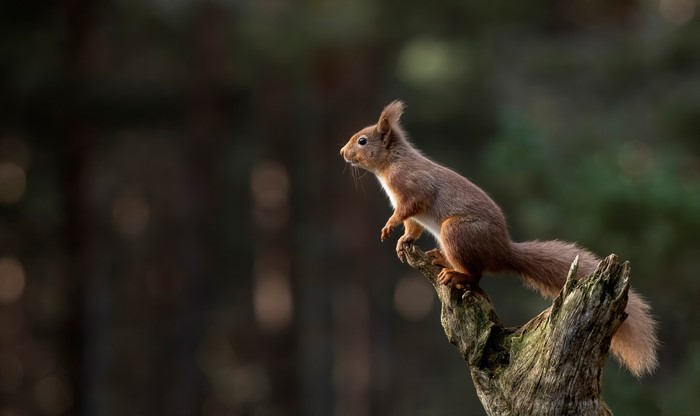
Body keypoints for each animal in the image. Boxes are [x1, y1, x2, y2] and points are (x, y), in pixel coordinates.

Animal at [340, 100, 658, 377]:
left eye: (363, 141)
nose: (342, 152)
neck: (391, 163)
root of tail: (502, 252)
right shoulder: (412, 213)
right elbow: (412, 228)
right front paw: (402, 241)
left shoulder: (414, 189)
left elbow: (408, 209)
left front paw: (388, 227)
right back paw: (439, 258)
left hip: (455, 231)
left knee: (476, 275)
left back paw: (455, 275)